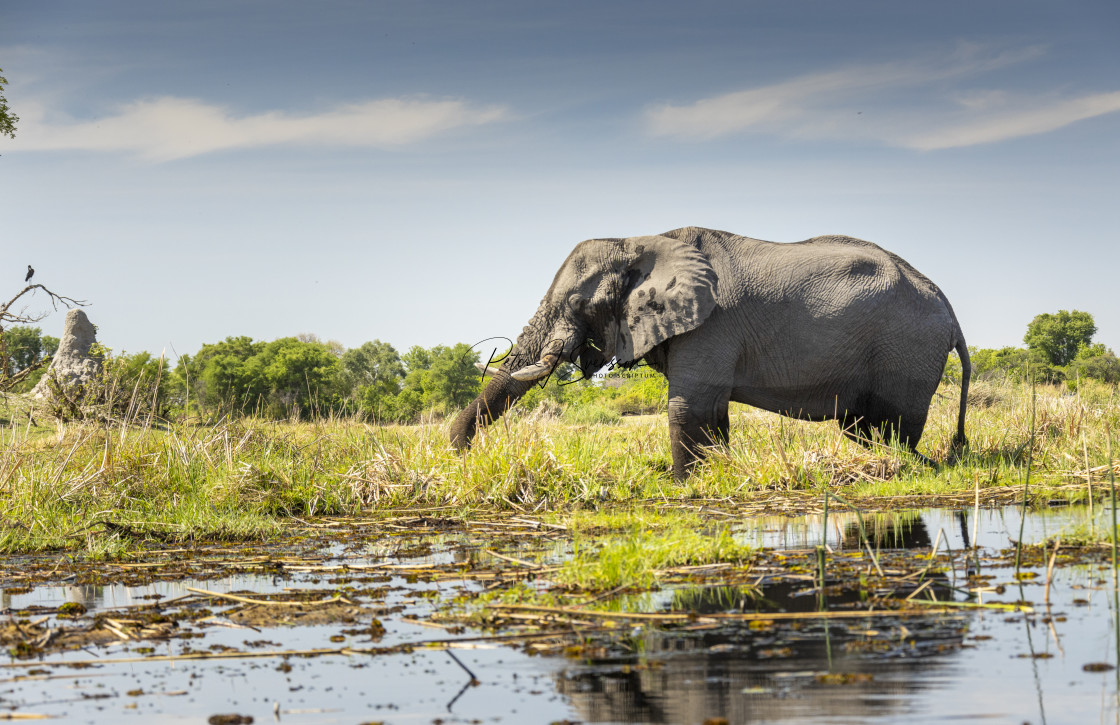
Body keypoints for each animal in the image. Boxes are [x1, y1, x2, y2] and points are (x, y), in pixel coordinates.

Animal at [450, 224, 967, 479]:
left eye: (579, 304)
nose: (459, 457)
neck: (641, 242)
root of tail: (947, 305)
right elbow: (711, 412)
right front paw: (709, 473)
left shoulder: (713, 322)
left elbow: (689, 405)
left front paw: (679, 483)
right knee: (860, 427)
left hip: (907, 349)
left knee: (892, 424)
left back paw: (907, 465)